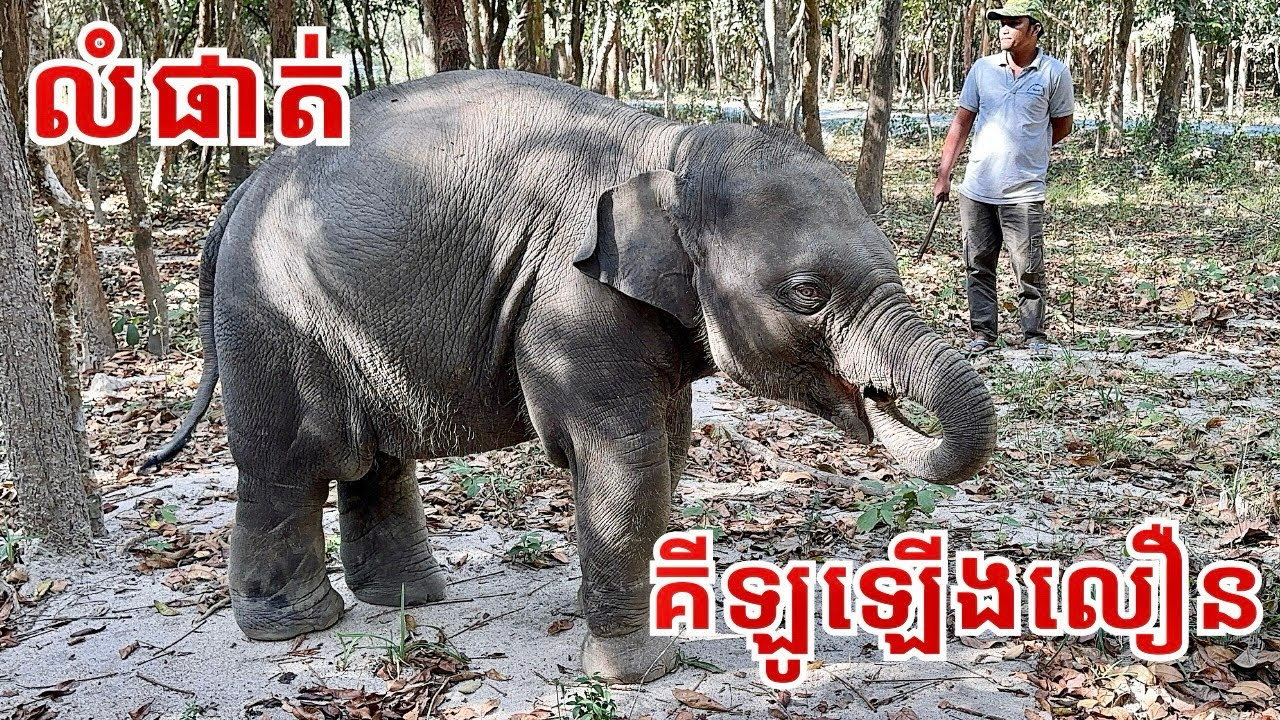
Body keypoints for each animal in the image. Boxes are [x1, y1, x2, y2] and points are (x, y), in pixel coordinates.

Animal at [145, 69, 997, 683]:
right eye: (807, 294)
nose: (881, 399)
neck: (669, 149)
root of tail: (242, 191)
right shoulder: (571, 301)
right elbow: (628, 458)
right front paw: (637, 673)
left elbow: (669, 447)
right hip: (270, 318)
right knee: (288, 466)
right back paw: (296, 627)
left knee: (376, 463)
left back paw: (409, 601)